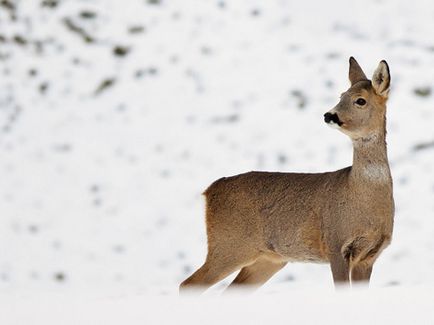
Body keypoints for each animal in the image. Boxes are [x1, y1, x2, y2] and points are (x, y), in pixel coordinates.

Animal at [179, 57, 394, 292]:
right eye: (341, 96)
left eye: (360, 100)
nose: (329, 115)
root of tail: (209, 191)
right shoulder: (336, 244)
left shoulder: (369, 256)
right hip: (228, 245)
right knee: (187, 284)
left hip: (267, 259)